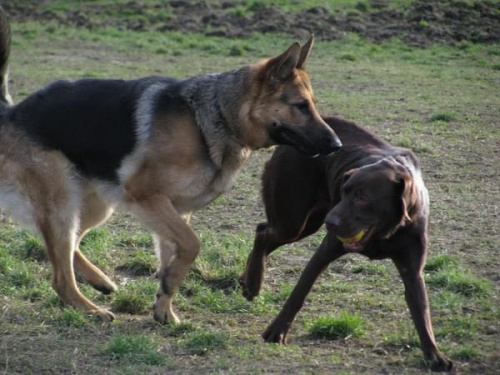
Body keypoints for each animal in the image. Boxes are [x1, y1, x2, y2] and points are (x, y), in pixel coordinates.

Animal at [0, 10, 340, 324]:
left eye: (312, 105)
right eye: (301, 106)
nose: (337, 145)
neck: (218, 115)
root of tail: (13, 111)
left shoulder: (174, 210)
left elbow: (173, 254)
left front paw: (164, 306)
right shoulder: (147, 197)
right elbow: (191, 244)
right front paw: (169, 284)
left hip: (95, 207)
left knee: (68, 247)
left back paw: (100, 281)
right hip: (64, 206)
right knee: (59, 275)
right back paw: (89, 309)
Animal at [240, 117, 456, 374]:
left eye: (363, 198)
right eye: (344, 191)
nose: (330, 222)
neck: (385, 233)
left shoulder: (412, 271)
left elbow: (422, 314)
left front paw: (434, 355)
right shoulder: (325, 251)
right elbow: (298, 294)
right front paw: (277, 331)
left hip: (303, 224)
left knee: (263, 234)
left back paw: (246, 281)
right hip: (293, 222)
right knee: (262, 233)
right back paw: (253, 283)